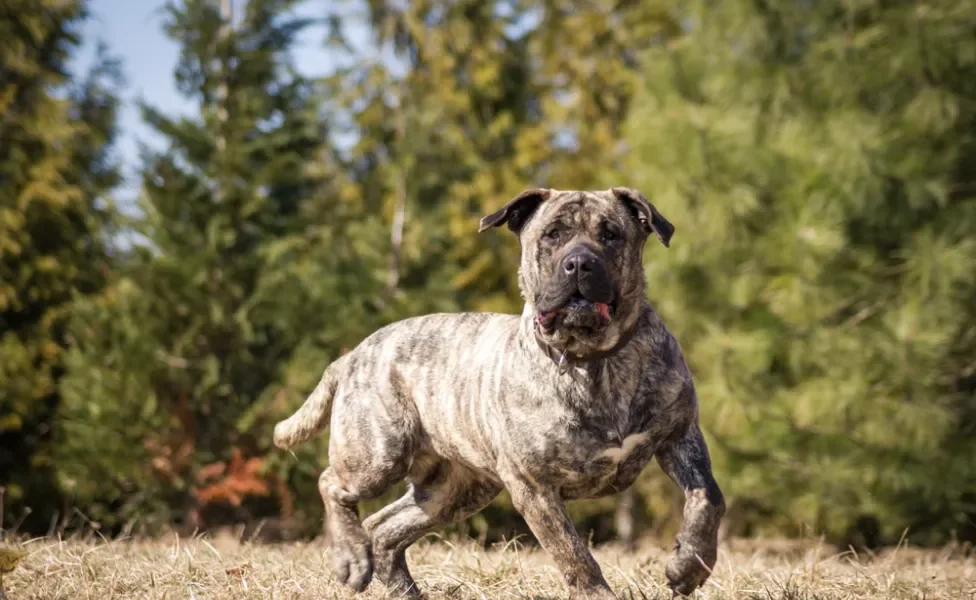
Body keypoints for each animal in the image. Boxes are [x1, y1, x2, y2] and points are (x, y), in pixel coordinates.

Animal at [274, 186, 724, 596]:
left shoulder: (681, 436)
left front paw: (689, 566)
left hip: (455, 490)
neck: (593, 360)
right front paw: (598, 592)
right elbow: (573, 554)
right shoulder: (534, 486)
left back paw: (402, 587)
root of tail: (352, 355)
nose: (580, 263)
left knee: (385, 526)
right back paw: (352, 560)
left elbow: (708, 500)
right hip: (379, 452)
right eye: (552, 234)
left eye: (611, 234)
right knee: (332, 483)